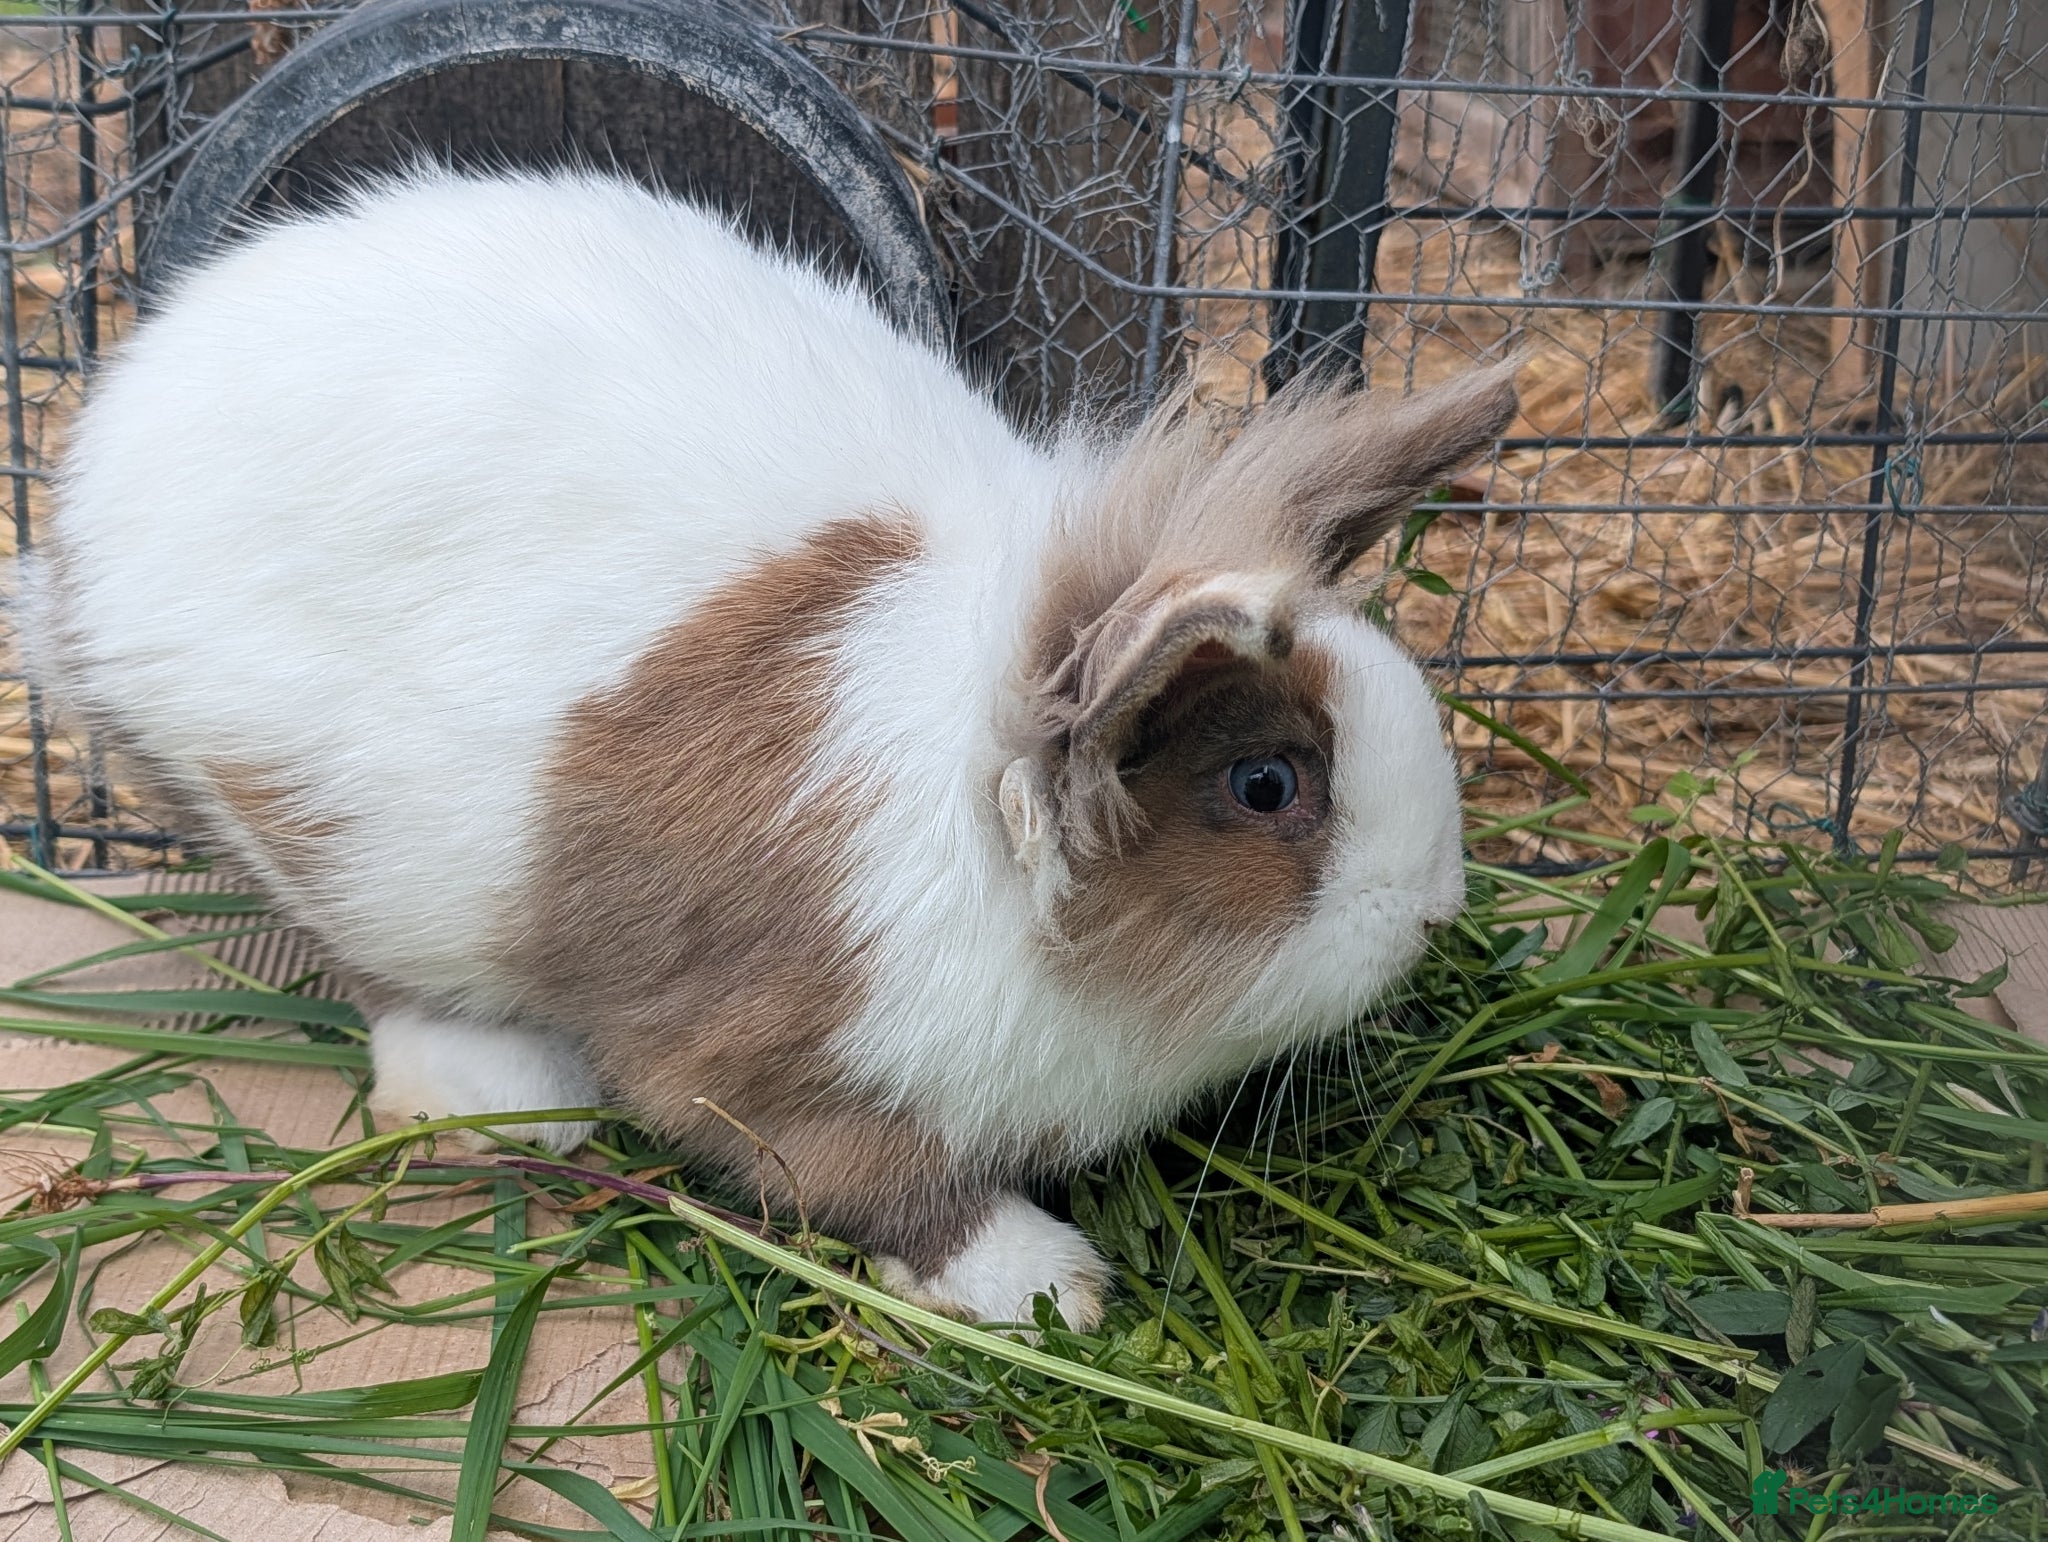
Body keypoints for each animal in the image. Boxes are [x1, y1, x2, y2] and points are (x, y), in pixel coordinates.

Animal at [20, 167, 1518, 1331]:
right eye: (1267, 786)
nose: (1435, 912)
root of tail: (108, 447)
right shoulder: (768, 1062)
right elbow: (868, 1182)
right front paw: (1052, 1283)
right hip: (312, 823)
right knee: (375, 968)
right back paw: (511, 1097)